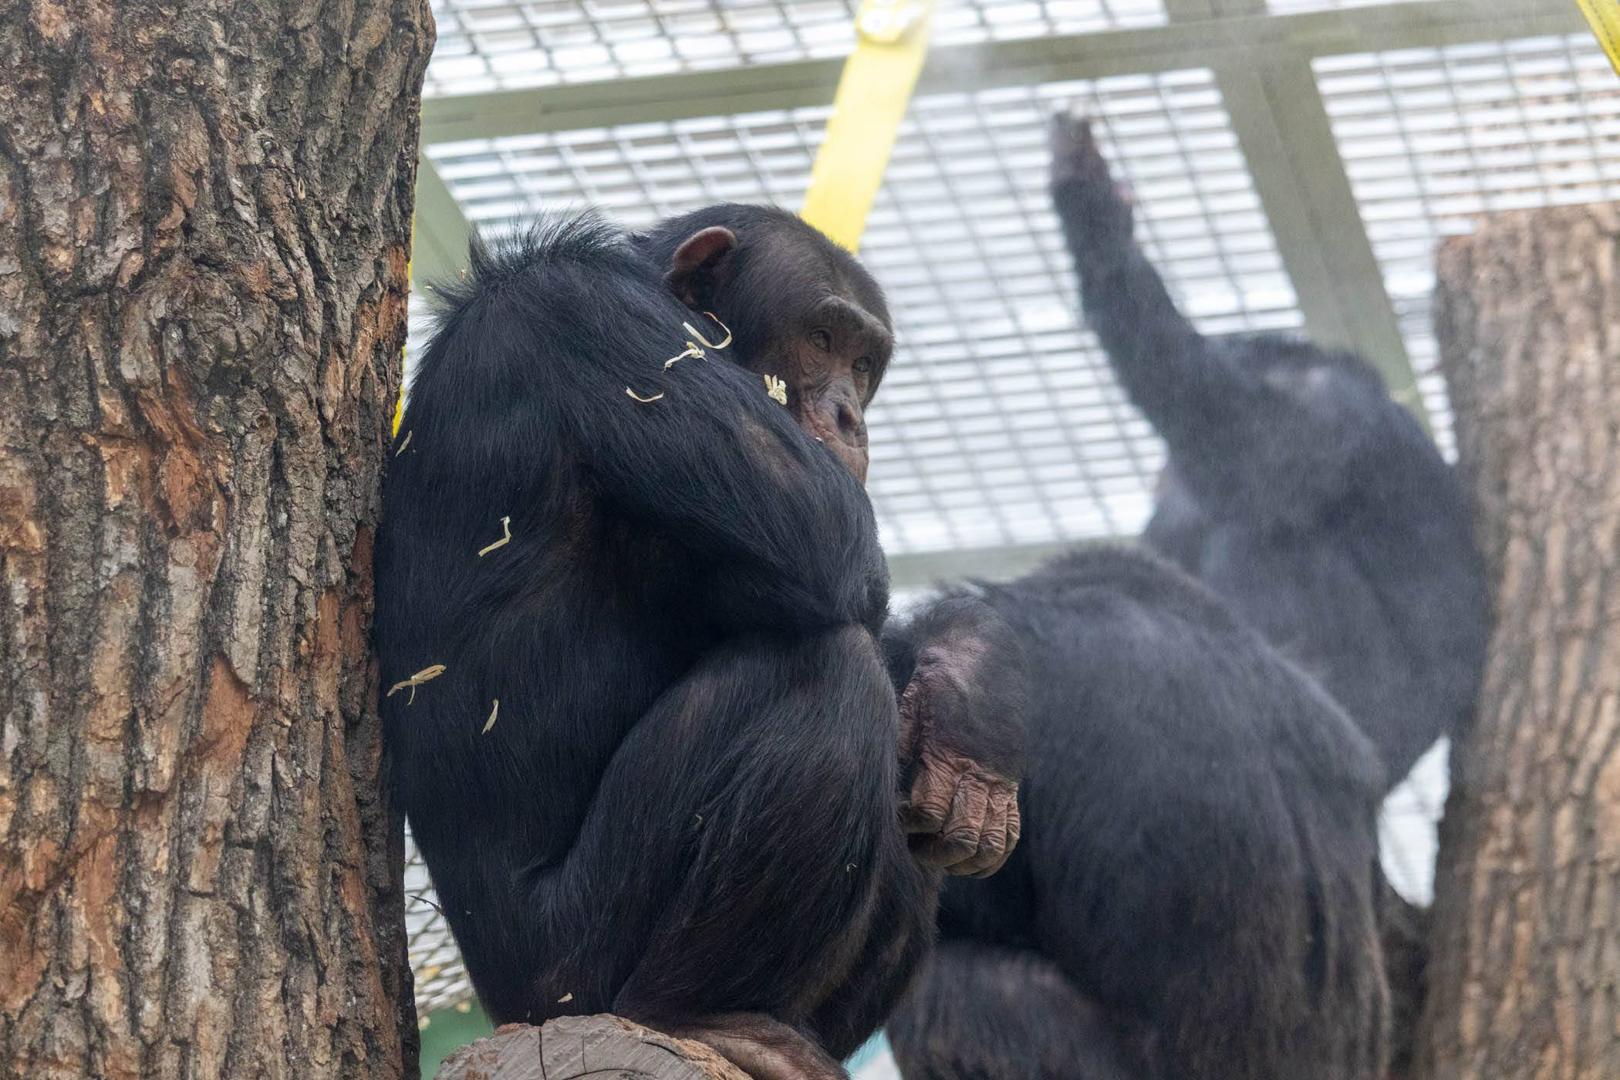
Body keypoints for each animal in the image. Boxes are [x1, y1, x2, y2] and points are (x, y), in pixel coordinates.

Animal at [379, 204, 1023, 1080]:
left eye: (864, 363)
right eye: (821, 338)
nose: (851, 416)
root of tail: (506, 1007)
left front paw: (969, 691)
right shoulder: (596, 324)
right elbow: (827, 542)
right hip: (573, 962)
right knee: (830, 673)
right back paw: (702, 1017)